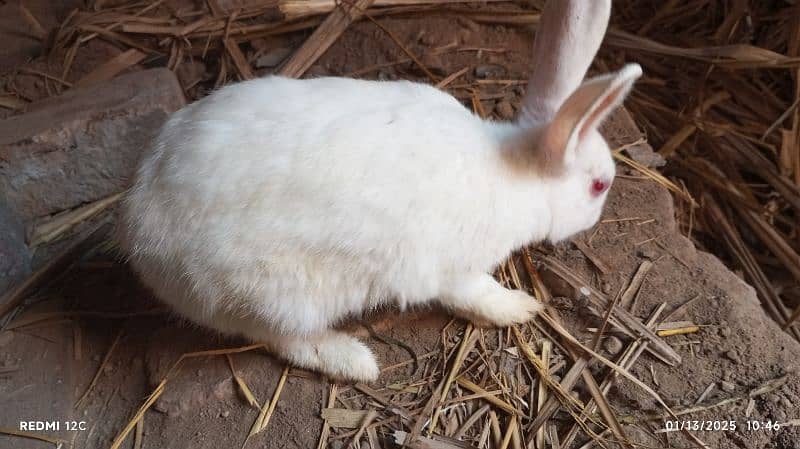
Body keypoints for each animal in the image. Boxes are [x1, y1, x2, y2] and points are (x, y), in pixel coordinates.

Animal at [120, 0, 644, 380]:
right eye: (598, 185)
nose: (598, 214)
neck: (516, 172)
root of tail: (141, 233)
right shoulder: (455, 269)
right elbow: (476, 295)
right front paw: (519, 308)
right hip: (274, 297)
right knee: (282, 339)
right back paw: (355, 362)